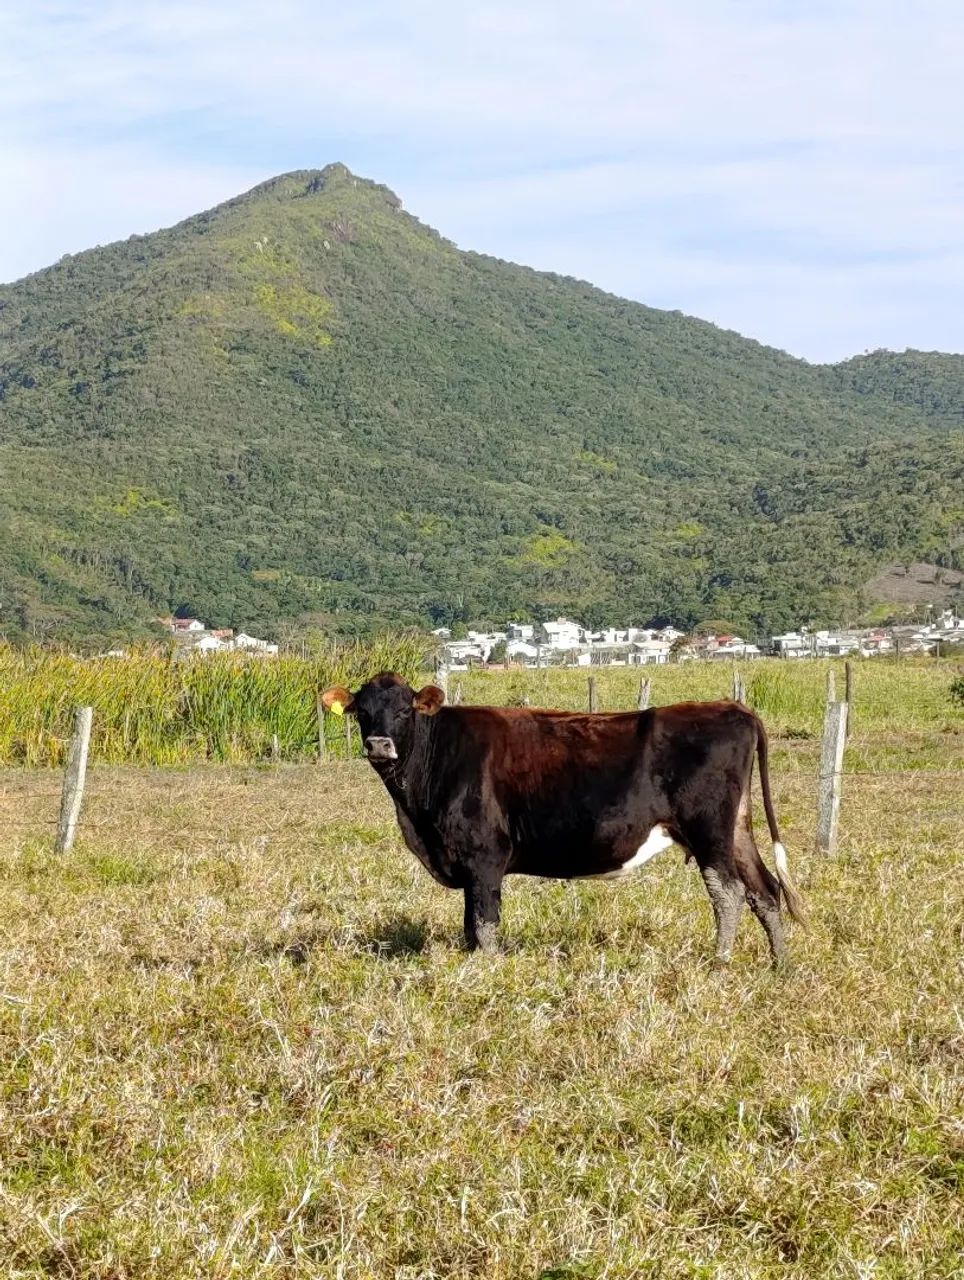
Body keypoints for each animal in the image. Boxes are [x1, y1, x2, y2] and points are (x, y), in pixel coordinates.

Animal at [320, 674, 806, 965]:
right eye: (364, 711)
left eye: (404, 710)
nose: (379, 744)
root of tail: (733, 708)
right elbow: (469, 925)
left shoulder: (484, 856)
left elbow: (484, 923)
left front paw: (487, 972)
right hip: (736, 827)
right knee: (765, 889)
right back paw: (779, 963)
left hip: (709, 830)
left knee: (729, 891)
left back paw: (720, 962)